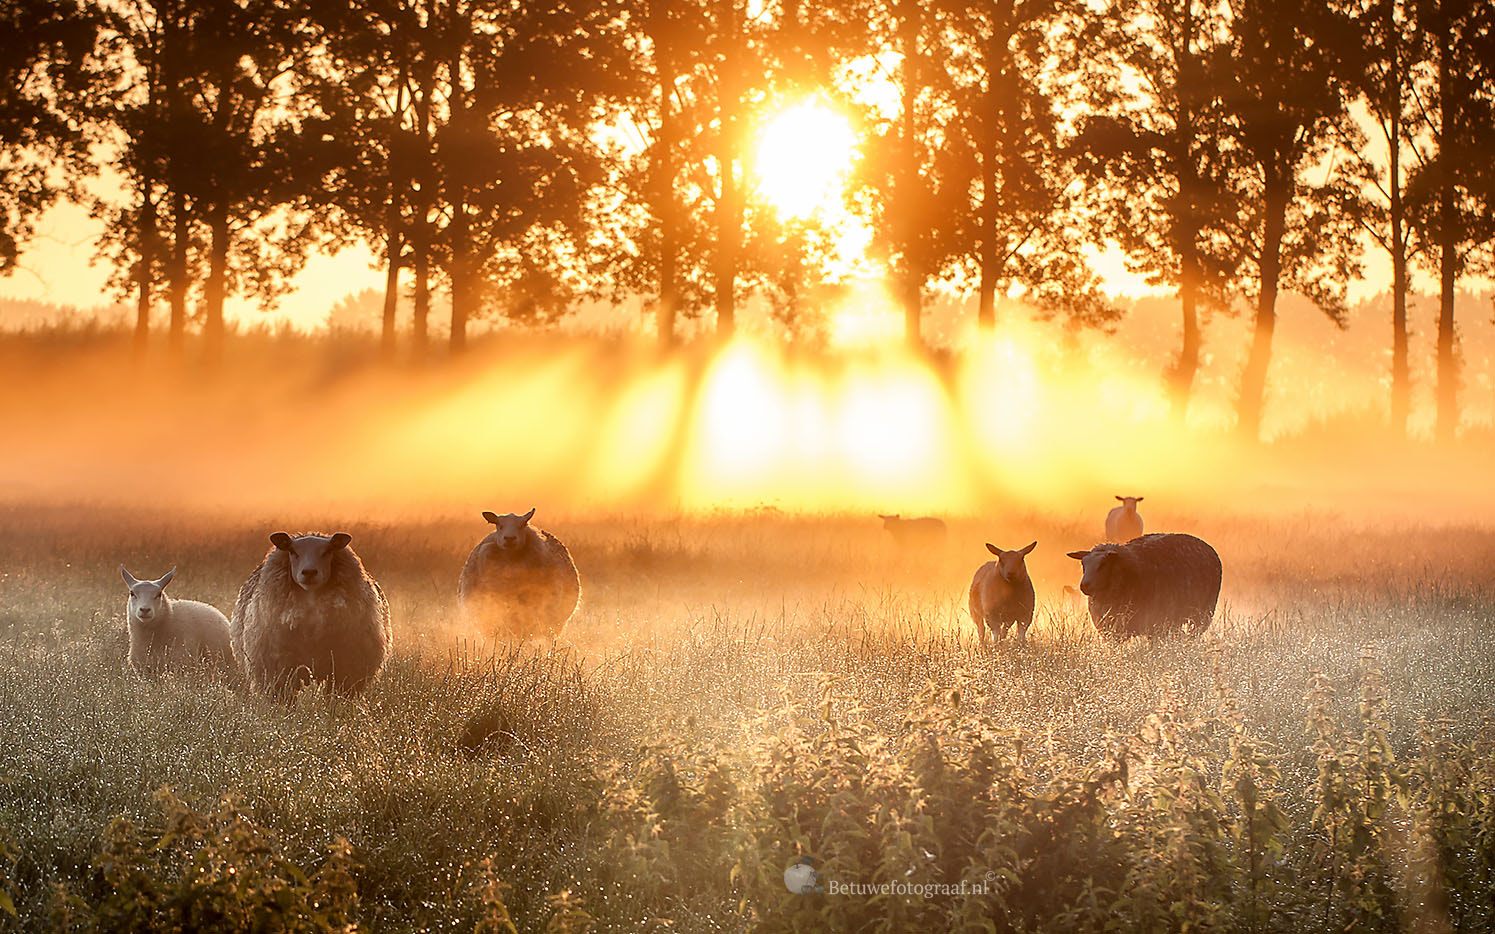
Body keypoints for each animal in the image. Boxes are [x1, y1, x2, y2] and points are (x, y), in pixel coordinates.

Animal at [1058, 532, 1219, 639]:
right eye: (1083, 564)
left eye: (1103, 564)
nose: (1084, 586)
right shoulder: (1110, 629)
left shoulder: (1155, 624)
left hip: (1203, 615)